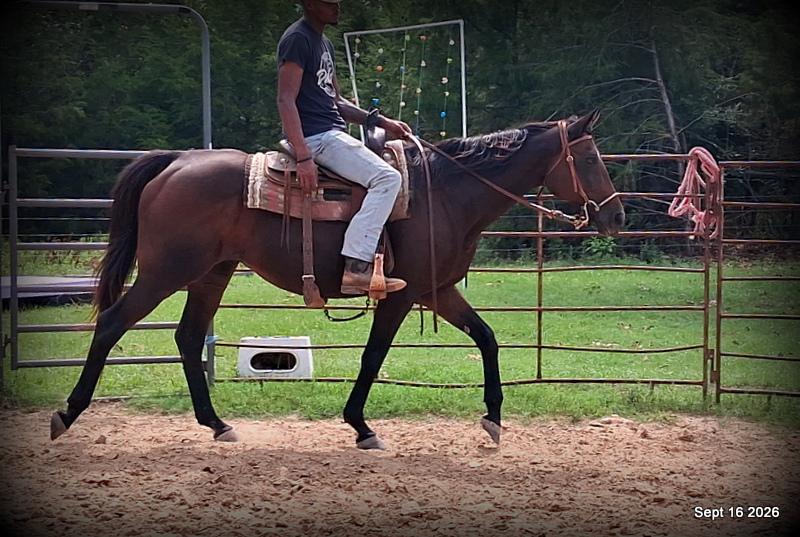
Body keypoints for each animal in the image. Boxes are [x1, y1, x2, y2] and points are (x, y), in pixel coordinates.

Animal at [49, 110, 625, 449]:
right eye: (589, 156)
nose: (617, 215)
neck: (445, 191)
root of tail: (177, 162)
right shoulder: (401, 296)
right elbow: (373, 356)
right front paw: (360, 425)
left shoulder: (437, 291)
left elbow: (486, 337)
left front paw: (494, 419)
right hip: (167, 271)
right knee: (112, 323)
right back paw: (68, 413)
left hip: (212, 273)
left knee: (189, 337)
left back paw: (217, 424)